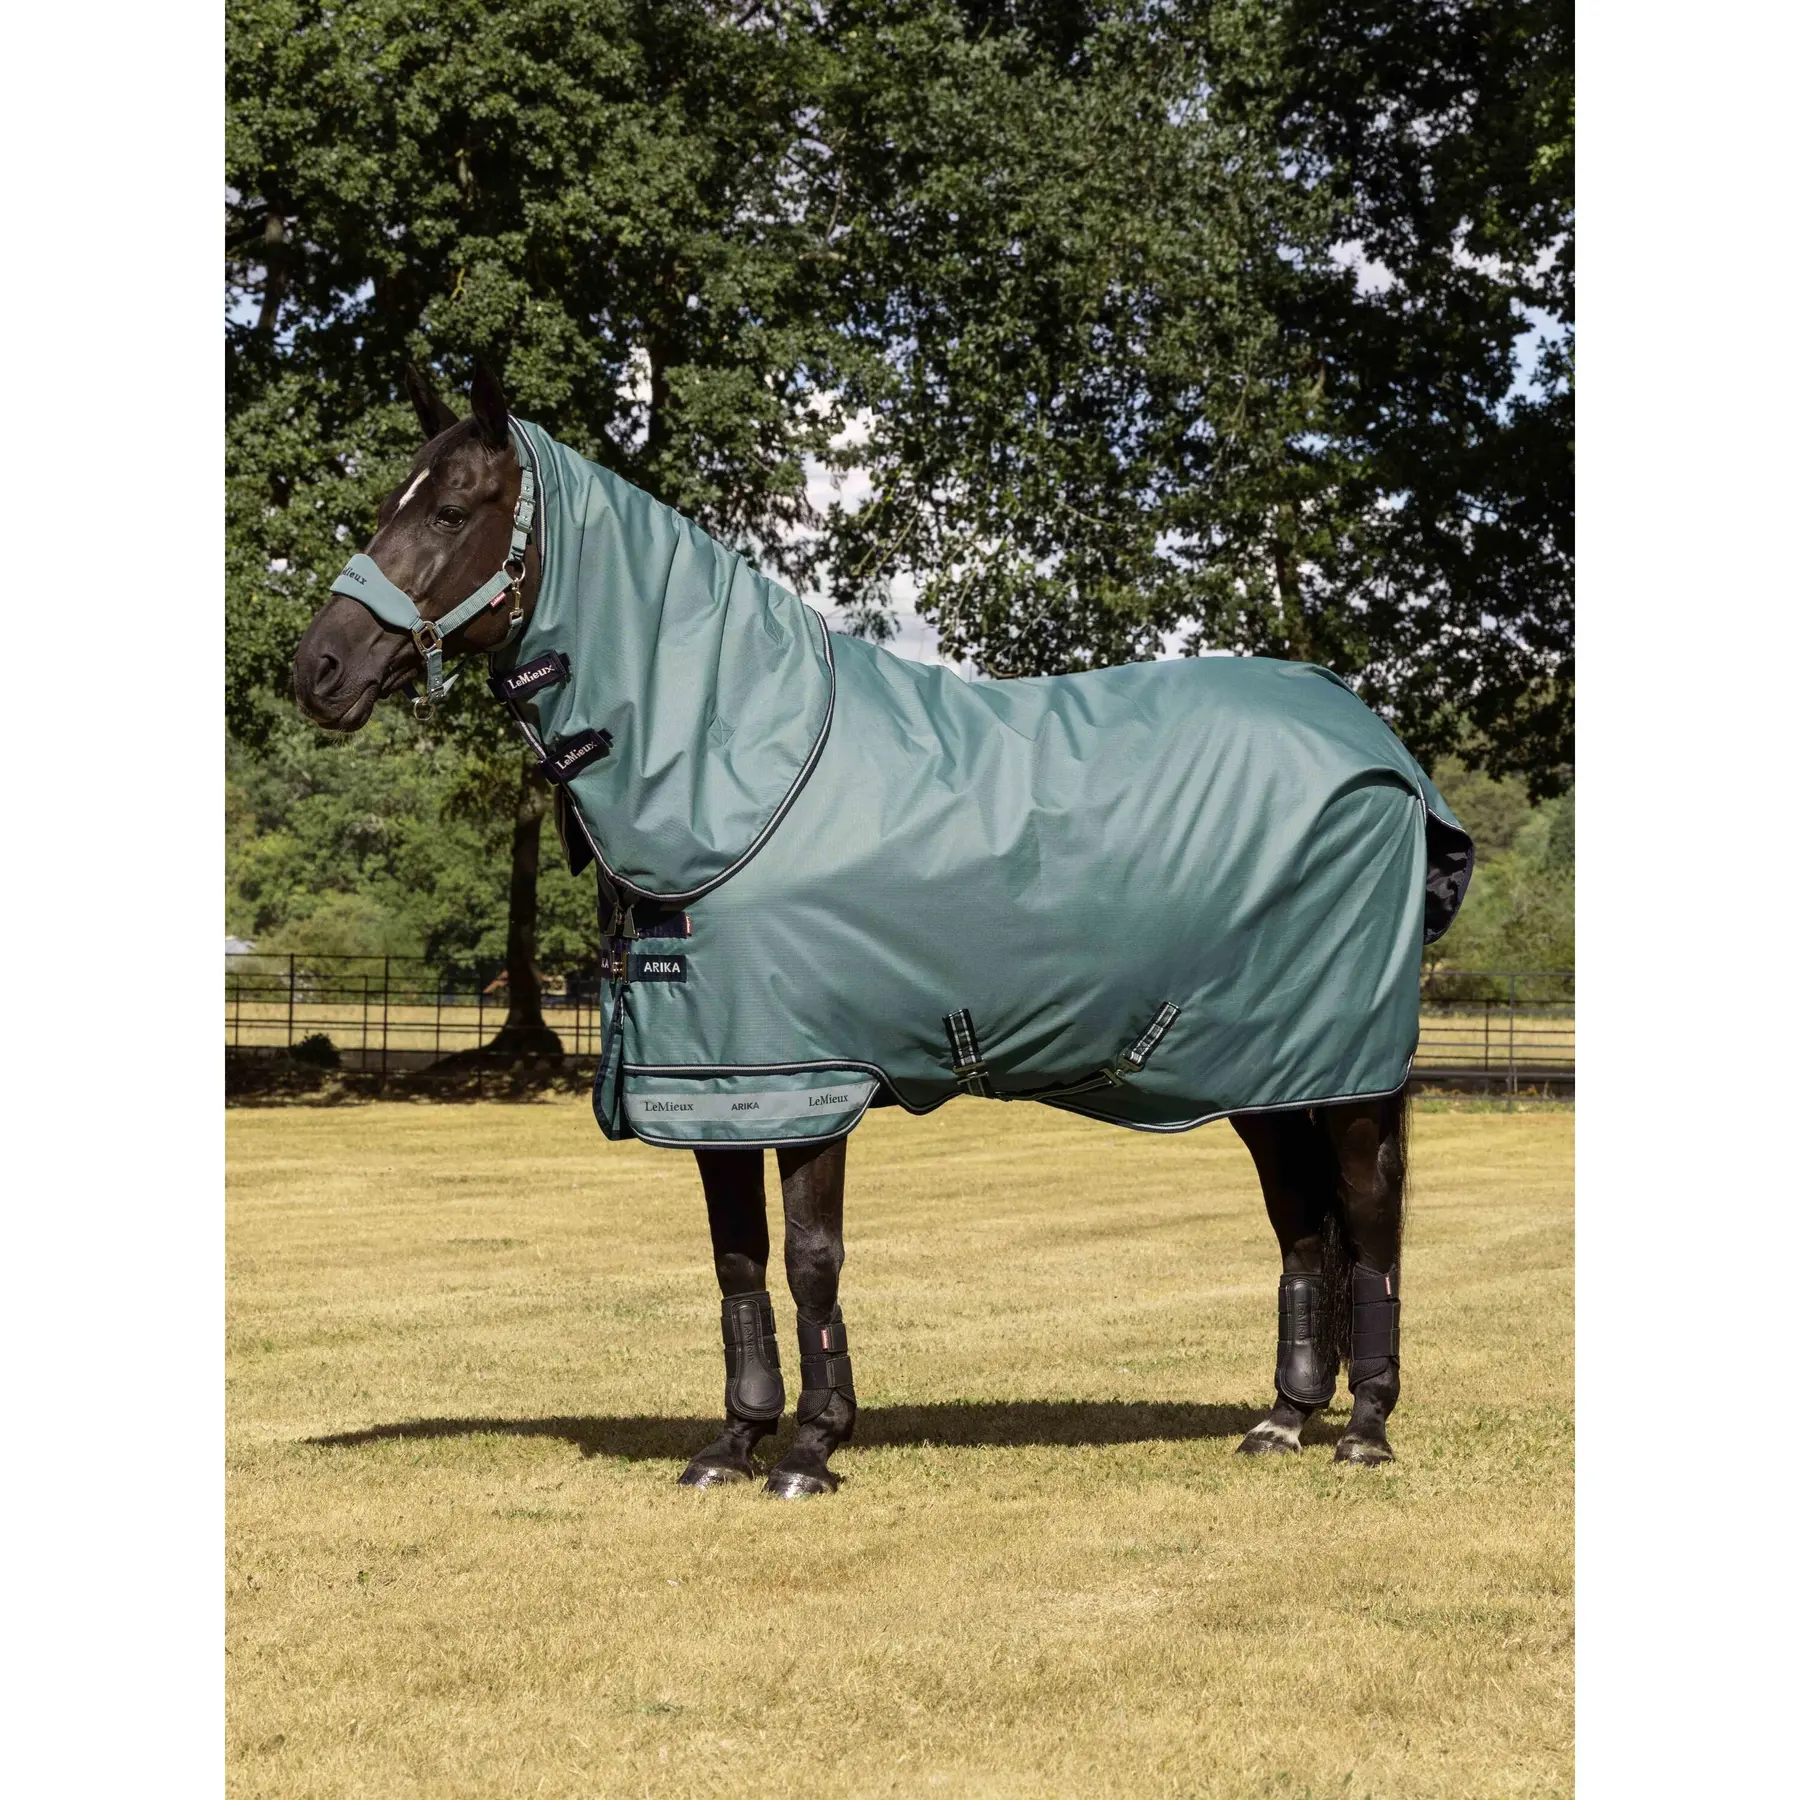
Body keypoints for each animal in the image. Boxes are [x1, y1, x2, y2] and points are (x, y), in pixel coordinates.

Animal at [290, 366, 1467, 1497]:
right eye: (391, 503)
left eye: (451, 510)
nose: (319, 668)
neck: (737, 764)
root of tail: (1382, 749)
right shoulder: (712, 1081)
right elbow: (736, 1261)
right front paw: (732, 1444)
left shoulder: (812, 1076)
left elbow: (810, 1259)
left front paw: (811, 1450)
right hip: (1257, 1069)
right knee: (1301, 1220)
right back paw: (1284, 1420)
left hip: (1346, 1076)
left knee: (1368, 1218)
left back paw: (1365, 1430)